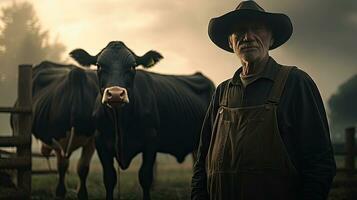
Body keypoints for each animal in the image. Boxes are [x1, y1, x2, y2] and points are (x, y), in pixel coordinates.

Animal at [10, 61, 98, 200]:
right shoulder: (59, 139)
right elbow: (62, 167)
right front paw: (60, 192)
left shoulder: (92, 141)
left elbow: (83, 168)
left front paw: (82, 194)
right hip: (18, 125)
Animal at [69, 41, 214, 200]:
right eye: (99, 65)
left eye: (132, 66)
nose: (115, 94)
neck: (120, 124)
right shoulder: (100, 141)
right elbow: (109, 178)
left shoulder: (151, 141)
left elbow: (145, 177)